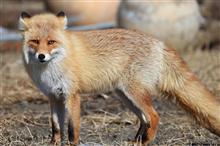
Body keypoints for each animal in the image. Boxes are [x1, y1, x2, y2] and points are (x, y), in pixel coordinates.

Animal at [19, 12, 220, 145]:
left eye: (51, 42)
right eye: (35, 42)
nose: (41, 56)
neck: (51, 69)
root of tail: (158, 42)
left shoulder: (72, 95)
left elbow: (71, 127)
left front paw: (72, 143)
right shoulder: (53, 96)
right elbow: (56, 126)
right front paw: (53, 143)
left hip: (134, 93)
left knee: (154, 116)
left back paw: (146, 141)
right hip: (125, 96)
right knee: (145, 119)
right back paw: (136, 142)